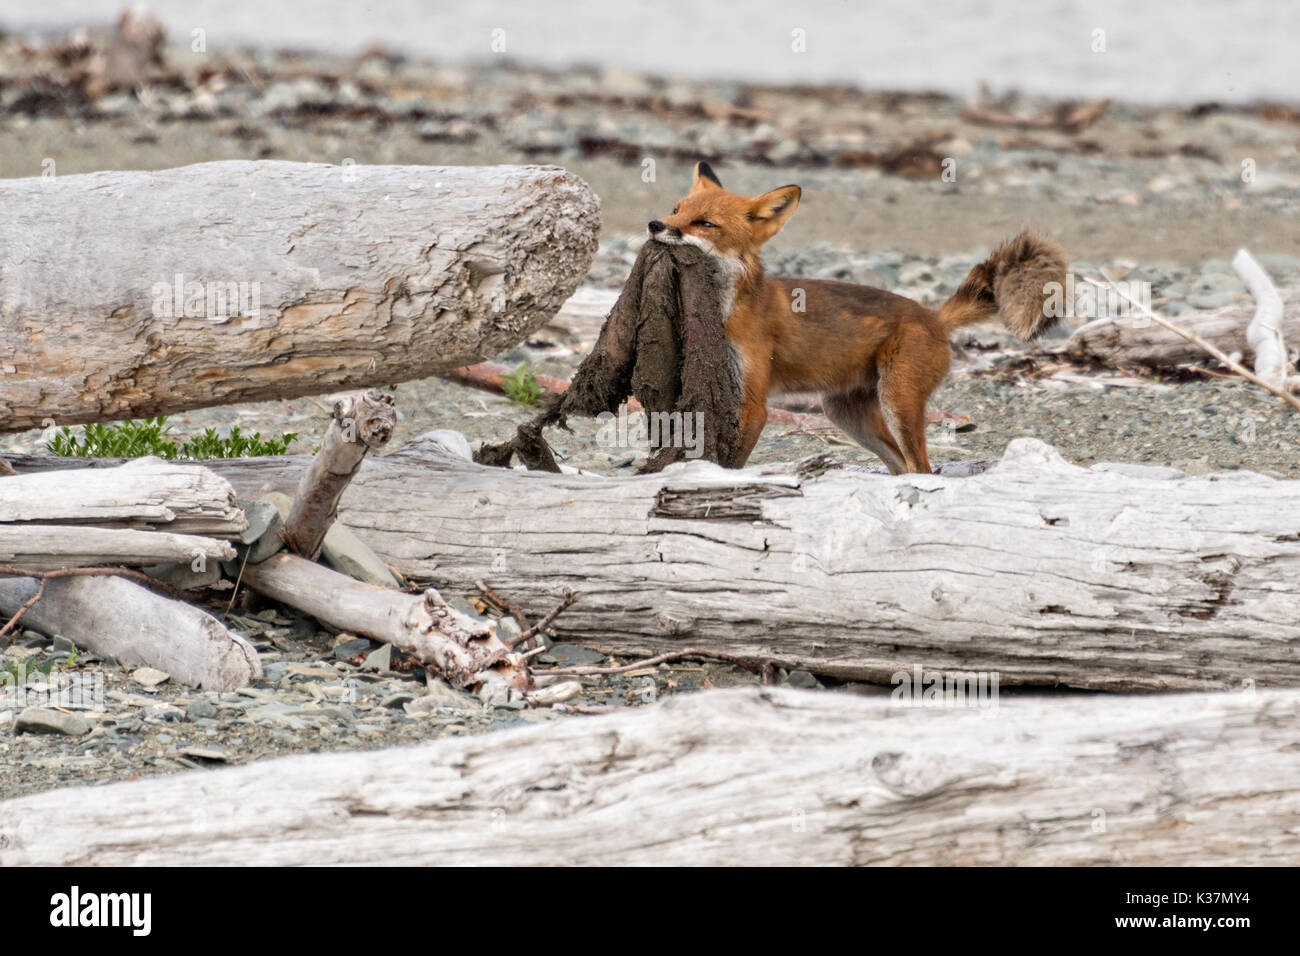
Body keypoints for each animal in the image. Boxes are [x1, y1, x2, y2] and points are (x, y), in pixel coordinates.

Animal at [650, 165, 1066, 478]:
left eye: (705, 223)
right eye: (676, 209)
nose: (655, 224)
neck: (728, 308)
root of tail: (932, 315)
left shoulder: (754, 402)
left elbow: (732, 463)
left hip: (897, 402)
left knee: (922, 467)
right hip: (848, 415)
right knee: (903, 466)